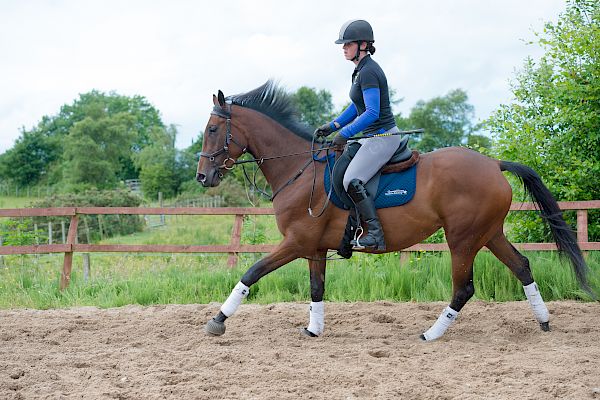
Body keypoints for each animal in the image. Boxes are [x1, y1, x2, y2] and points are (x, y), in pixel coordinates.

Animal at [196, 81, 592, 340]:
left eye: (213, 129)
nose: (203, 177)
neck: (299, 170)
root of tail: (494, 164)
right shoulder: (315, 248)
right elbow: (316, 289)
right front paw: (313, 329)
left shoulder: (296, 242)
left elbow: (250, 273)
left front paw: (218, 320)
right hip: (489, 233)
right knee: (522, 266)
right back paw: (543, 321)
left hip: (462, 239)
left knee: (463, 288)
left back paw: (432, 334)